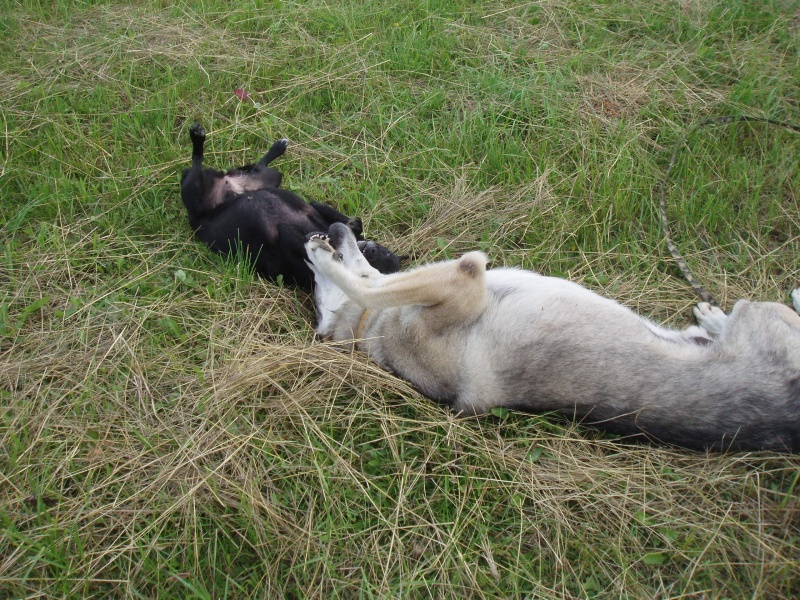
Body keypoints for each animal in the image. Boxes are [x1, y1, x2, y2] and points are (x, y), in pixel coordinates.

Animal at [180, 124, 400, 290]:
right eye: (385, 252)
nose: (371, 251)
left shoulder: (291, 243)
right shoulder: (317, 208)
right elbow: (346, 219)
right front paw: (352, 225)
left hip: (195, 192)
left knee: (197, 163)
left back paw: (197, 137)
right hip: (271, 177)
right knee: (258, 166)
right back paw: (277, 147)